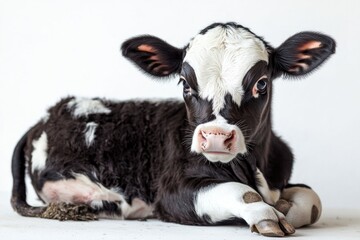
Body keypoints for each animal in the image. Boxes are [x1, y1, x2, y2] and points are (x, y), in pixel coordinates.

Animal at [12, 22, 336, 236]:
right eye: (184, 83)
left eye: (262, 83)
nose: (215, 137)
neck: (257, 170)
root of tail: (49, 113)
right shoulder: (171, 193)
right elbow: (242, 193)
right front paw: (267, 215)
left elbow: (312, 199)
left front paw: (285, 206)